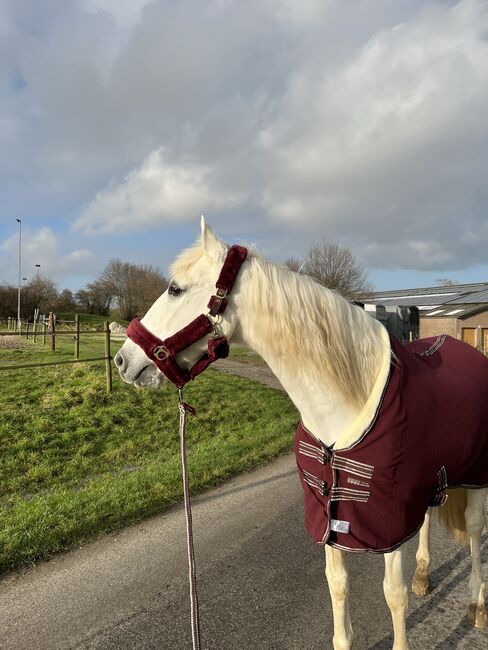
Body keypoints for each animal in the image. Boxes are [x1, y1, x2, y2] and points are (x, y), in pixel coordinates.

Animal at [115, 219, 488, 648]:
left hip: (477, 478)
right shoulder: (332, 513)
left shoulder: (387, 521)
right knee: (428, 519)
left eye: (175, 288)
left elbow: (393, 595)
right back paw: (424, 576)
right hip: (431, 481)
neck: (348, 405)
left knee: (475, 530)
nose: (123, 361)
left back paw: (477, 606)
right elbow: (338, 584)